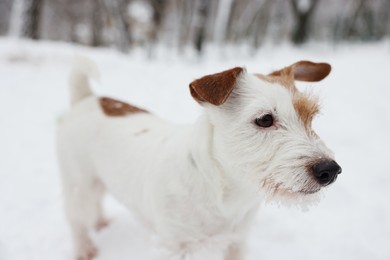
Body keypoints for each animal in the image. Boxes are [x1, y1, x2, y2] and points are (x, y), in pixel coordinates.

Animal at [55, 58, 342, 258]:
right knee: (75, 219)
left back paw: (100, 222)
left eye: (311, 116)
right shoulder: (173, 247)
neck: (226, 192)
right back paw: (84, 248)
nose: (330, 170)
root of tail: (88, 99)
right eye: (264, 119)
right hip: (76, 183)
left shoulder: (237, 241)